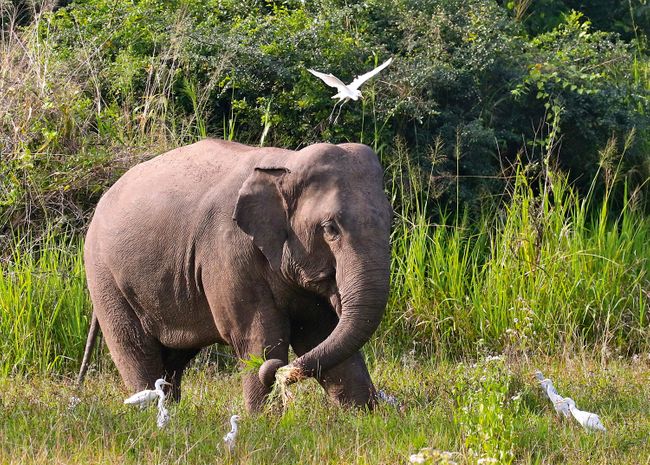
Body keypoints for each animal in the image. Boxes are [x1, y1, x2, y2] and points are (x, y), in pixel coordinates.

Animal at [77, 139, 392, 412]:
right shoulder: (227, 252)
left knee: (174, 357)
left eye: (390, 221)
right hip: (105, 277)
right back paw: (150, 415)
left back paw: (171, 412)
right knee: (135, 349)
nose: (282, 372)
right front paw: (266, 421)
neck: (285, 164)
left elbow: (321, 333)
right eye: (330, 229)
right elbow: (257, 337)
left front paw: (362, 415)